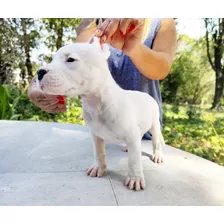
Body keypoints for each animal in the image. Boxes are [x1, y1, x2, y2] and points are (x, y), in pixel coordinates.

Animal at [37, 36, 164, 191]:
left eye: (71, 59)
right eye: (52, 59)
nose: (39, 72)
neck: (95, 102)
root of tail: (147, 96)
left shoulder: (131, 133)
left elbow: (134, 160)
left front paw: (135, 178)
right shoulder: (95, 134)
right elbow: (99, 152)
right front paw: (99, 168)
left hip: (154, 124)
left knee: (155, 141)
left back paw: (157, 155)